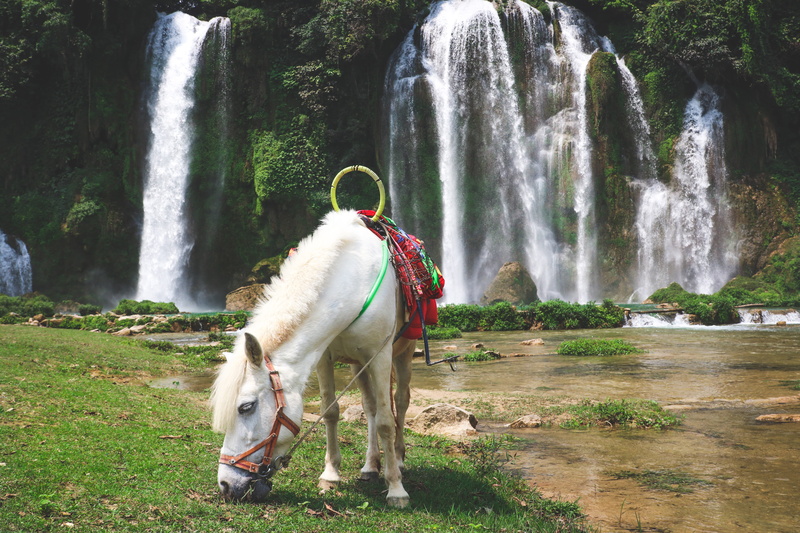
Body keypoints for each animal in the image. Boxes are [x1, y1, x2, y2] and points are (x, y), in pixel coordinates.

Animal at [210, 210, 416, 508]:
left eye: (245, 407)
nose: (226, 485)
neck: (353, 281)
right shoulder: (324, 358)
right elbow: (330, 412)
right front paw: (330, 476)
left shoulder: (380, 356)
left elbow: (387, 422)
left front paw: (397, 490)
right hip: (358, 364)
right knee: (369, 407)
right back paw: (369, 466)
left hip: (404, 352)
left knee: (399, 401)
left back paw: (397, 461)